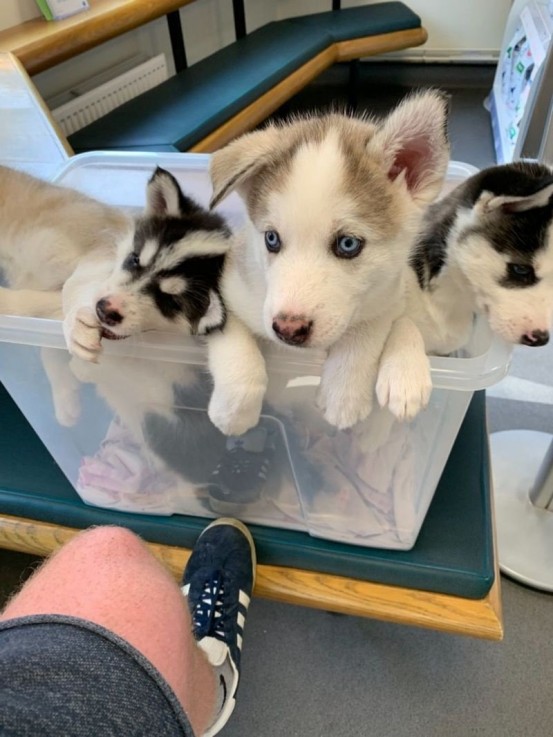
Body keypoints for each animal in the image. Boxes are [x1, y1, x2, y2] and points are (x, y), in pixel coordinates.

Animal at [210, 92, 448, 428]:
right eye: (271, 239)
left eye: (348, 244)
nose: (288, 329)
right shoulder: (225, 290)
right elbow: (233, 341)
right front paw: (233, 412)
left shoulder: (386, 295)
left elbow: (369, 328)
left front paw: (344, 395)